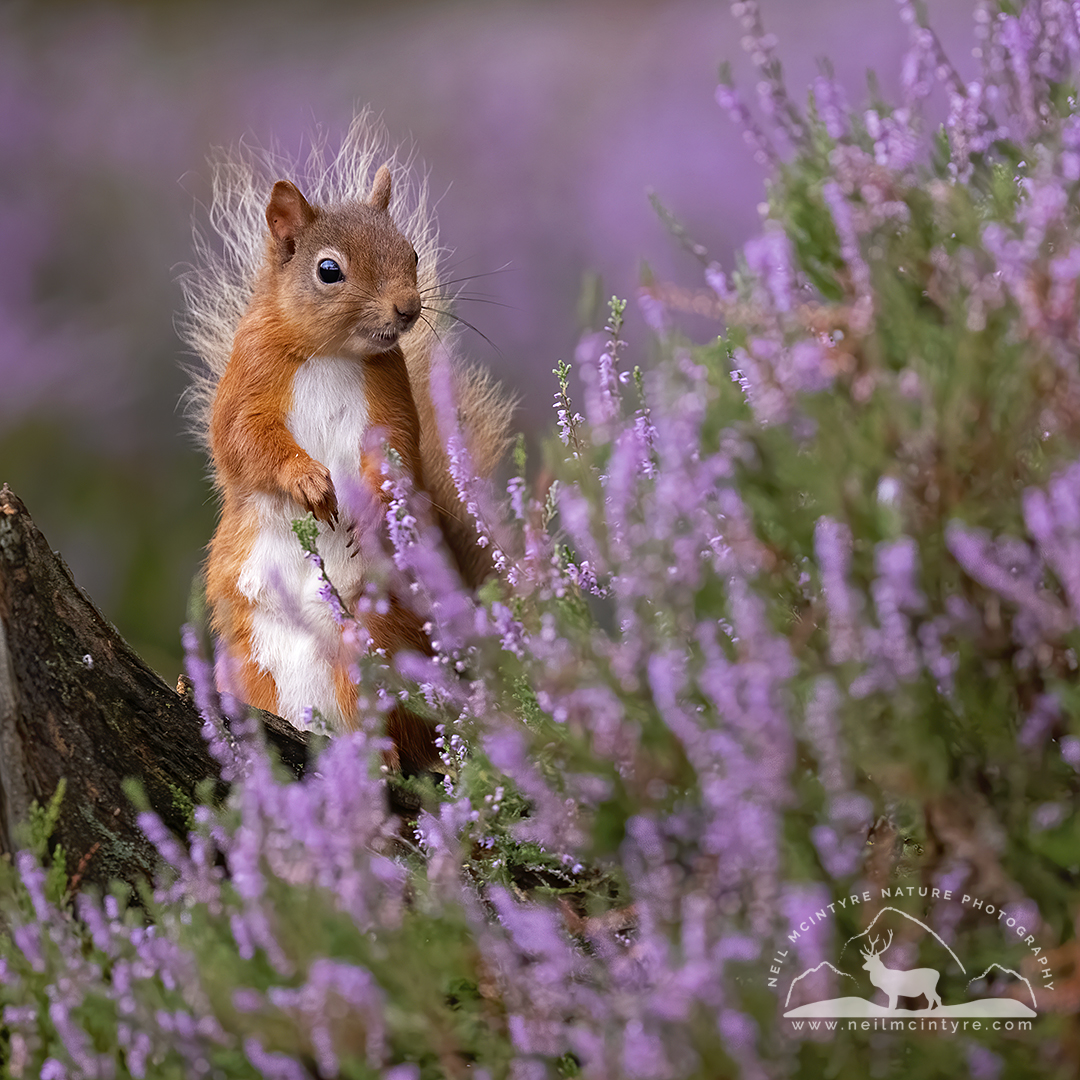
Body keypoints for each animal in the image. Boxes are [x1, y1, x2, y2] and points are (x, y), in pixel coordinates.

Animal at [184, 120, 514, 768]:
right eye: (329, 270)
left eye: (412, 255)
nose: (408, 308)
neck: (331, 353)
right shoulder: (247, 382)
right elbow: (245, 443)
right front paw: (307, 479)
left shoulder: (390, 402)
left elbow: (399, 455)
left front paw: (374, 509)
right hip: (252, 652)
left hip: (372, 645)